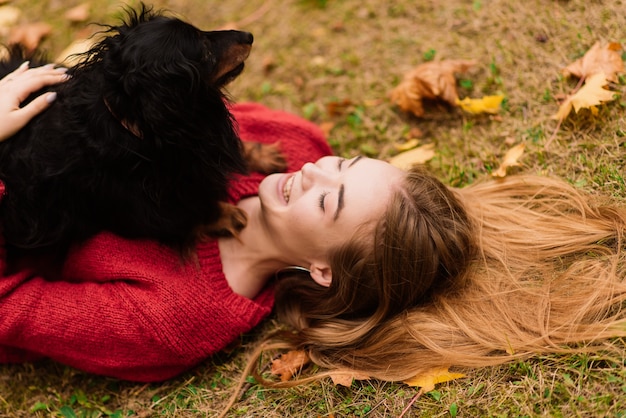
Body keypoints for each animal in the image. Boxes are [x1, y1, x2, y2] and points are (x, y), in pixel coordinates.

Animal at [0, 4, 282, 260]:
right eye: (204, 50)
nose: (248, 35)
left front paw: (264, 155)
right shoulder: (137, 212)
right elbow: (189, 212)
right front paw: (229, 214)